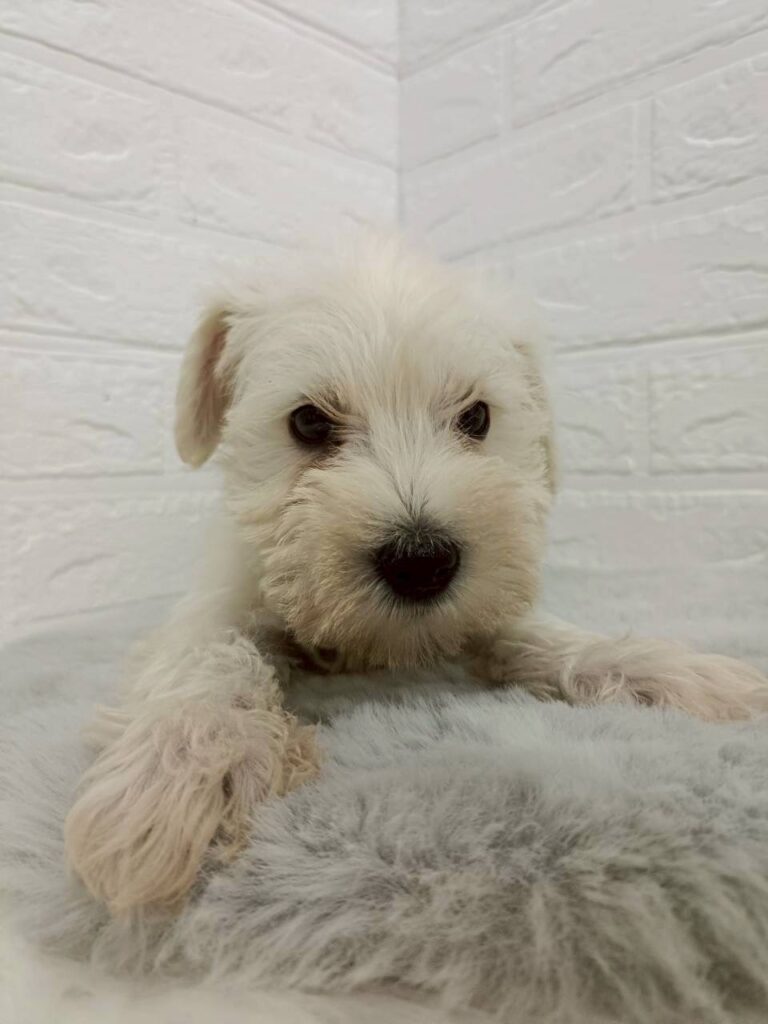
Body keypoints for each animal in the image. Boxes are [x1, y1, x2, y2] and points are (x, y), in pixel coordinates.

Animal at [64, 238, 768, 915]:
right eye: (309, 422)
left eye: (477, 418)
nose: (422, 561)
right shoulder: (219, 595)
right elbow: (209, 653)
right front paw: (194, 764)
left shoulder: (489, 603)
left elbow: (541, 632)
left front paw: (667, 671)